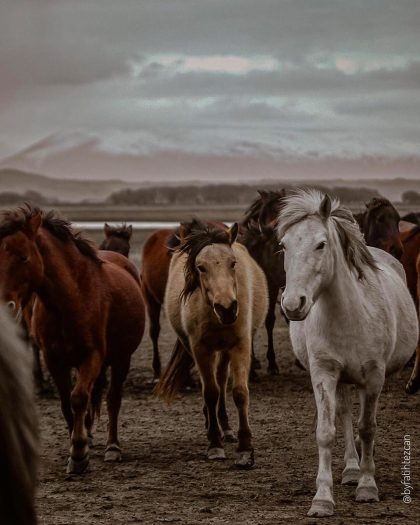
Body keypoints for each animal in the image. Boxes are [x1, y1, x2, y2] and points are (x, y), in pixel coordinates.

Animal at [0, 207, 146, 472]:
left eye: (24, 258)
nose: (4, 308)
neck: (71, 298)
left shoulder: (92, 357)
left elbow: (78, 398)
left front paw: (79, 454)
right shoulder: (55, 360)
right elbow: (66, 402)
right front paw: (76, 444)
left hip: (122, 359)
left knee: (113, 398)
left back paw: (112, 447)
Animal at [156, 219, 268, 468]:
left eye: (233, 263)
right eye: (201, 267)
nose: (227, 309)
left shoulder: (241, 345)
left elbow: (239, 392)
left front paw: (245, 448)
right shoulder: (200, 349)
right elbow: (210, 392)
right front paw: (214, 444)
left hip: (225, 350)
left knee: (222, 379)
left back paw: (226, 428)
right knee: (213, 386)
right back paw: (212, 424)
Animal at [278, 188, 418, 516]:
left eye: (321, 244)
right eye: (284, 245)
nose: (292, 304)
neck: (349, 314)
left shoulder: (374, 375)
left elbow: (367, 427)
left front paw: (368, 486)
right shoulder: (324, 373)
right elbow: (326, 431)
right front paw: (322, 498)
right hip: (341, 379)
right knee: (343, 413)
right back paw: (351, 468)